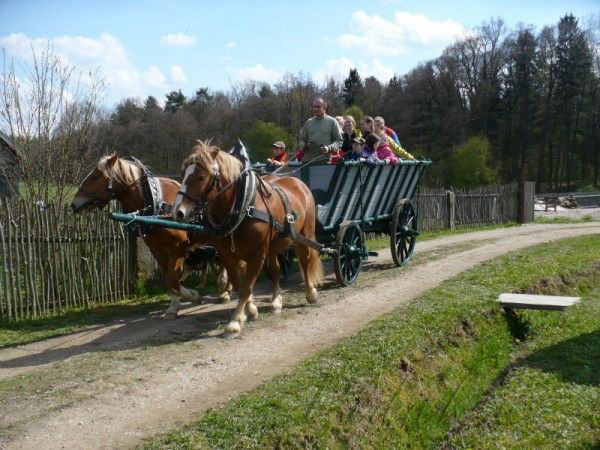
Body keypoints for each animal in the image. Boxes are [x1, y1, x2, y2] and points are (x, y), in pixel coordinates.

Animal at [68, 155, 232, 316]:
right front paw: (180, 302)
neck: (158, 204)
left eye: (95, 177)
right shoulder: (157, 249)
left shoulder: (179, 247)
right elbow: (169, 277)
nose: (74, 204)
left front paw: (188, 299)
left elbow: (174, 276)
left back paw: (225, 290)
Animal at [172, 141, 324, 338]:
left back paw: (310, 293)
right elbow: (239, 284)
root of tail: (297, 182)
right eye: (183, 174)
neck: (244, 205)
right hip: (273, 247)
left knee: (305, 262)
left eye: (201, 176)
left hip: (303, 235)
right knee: (276, 270)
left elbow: (246, 287)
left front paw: (235, 323)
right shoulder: (228, 255)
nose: (178, 211)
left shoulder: (257, 255)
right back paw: (276, 301)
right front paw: (250, 310)